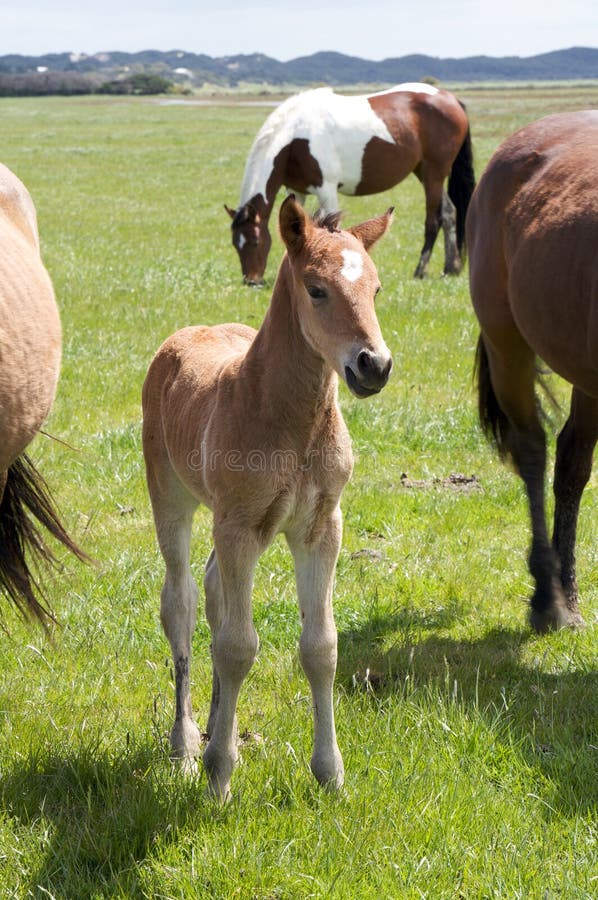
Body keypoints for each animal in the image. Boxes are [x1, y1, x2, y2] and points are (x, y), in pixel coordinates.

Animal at [141, 197, 394, 800]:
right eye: (316, 289)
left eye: (376, 289)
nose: (374, 365)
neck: (291, 422)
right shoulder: (239, 527)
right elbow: (238, 647)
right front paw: (218, 776)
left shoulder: (321, 527)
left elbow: (321, 646)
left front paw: (330, 774)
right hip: (172, 497)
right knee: (181, 601)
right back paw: (186, 745)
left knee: (212, 592)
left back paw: (216, 726)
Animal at [227, 83, 476, 284]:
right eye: (235, 244)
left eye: (255, 242)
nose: (251, 281)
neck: (296, 137)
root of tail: (451, 99)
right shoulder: (296, 191)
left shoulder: (326, 189)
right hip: (426, 173)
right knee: (450, 213)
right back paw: (451, 268)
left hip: (434, 173)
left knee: (434, 220)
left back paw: (421, 271)